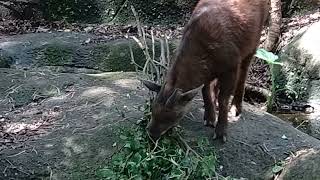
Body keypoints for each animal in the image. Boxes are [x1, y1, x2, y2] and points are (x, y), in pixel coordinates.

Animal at [142, 0, 270, 142]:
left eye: (173, 116)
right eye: (152, 108)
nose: (151, 133)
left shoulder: (232, 64)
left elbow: (224, 98)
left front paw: (221, 133)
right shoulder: (208, 71)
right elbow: (205, 90)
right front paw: (209, 118)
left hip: (254, 41)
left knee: (244, 72)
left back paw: (235, 108)